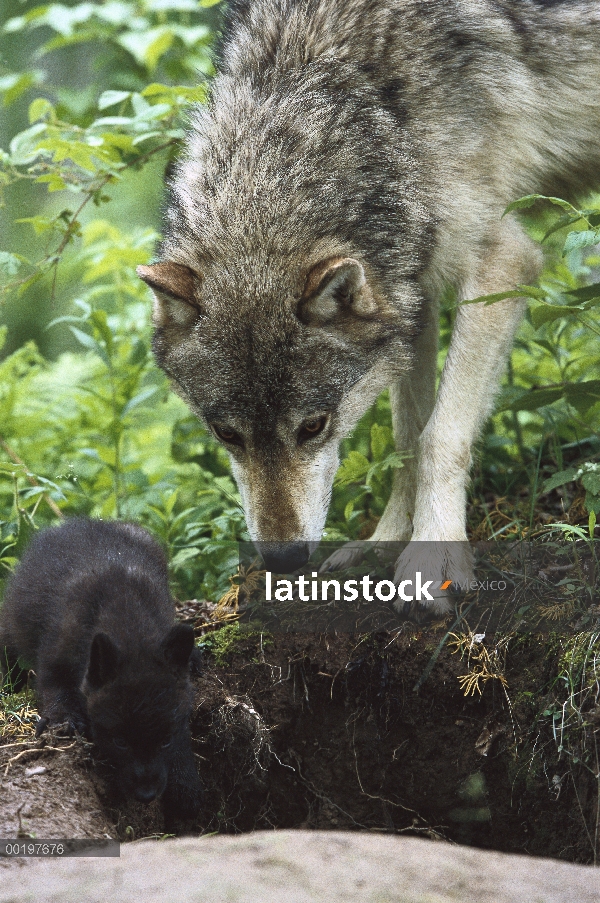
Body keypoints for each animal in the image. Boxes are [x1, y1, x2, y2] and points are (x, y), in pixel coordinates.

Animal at [0, 520, 203, 824]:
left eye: (165, 740)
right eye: (119, 742)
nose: (146, 794)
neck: (129, 625)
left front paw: (186, 783)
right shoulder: (55, 661)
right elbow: (55, 690)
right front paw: (64, 720)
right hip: (12, 625)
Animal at [136, 0, 600, 616]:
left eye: (313, 426)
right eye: (227, 434)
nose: (284, 560)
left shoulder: (503, 260)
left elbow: (439, 436)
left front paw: (431, 560)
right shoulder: (411, 293)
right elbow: (408, 438)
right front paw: (386, 543)